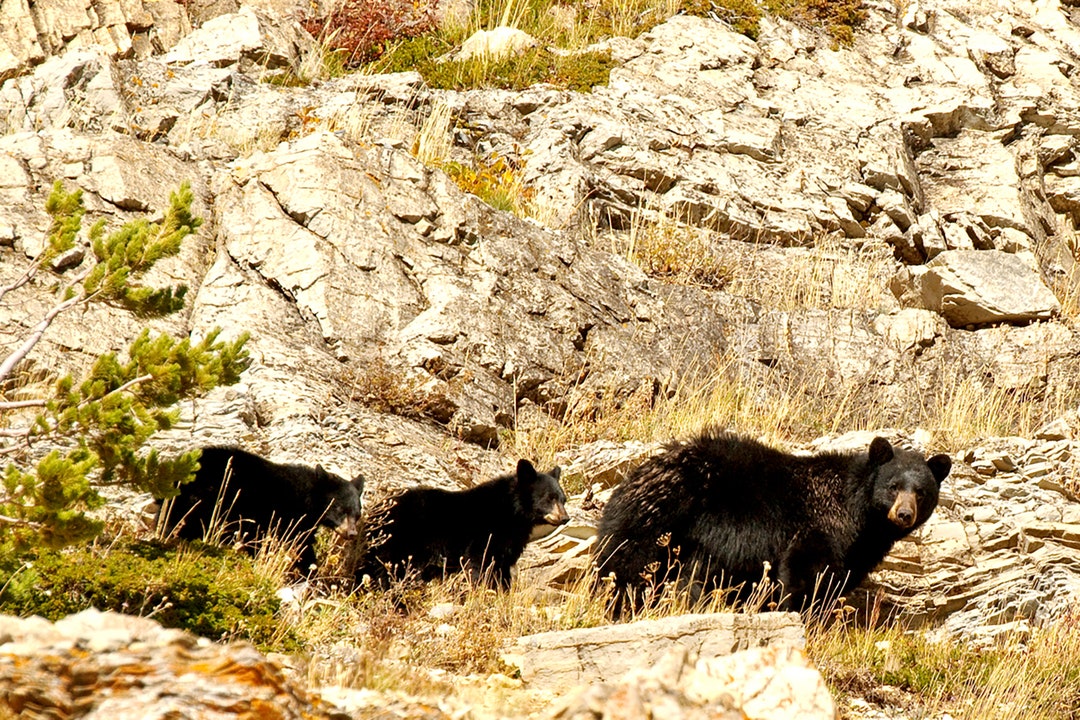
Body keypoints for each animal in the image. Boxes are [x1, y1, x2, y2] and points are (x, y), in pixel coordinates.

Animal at [157, 446, 365, 574]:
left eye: (357, 514)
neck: (307, 498)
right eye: (340, 509)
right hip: (203, 502)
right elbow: (298, 544)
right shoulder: (284, 515)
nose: (352, 533)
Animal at [357, 459, 569, 589]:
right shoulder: (486, 533)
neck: (514, 513)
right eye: (549, 498)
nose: (565, 518)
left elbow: (502, 567)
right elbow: (479, 563)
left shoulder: (508, 543)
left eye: (563, 499)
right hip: (400, 541)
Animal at [593, 429, 951, 614]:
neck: (857, 515)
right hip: (663, 511)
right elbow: (802, 571)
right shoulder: (816, 527)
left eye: (921, 492)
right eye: (893, 486)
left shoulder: (858, 550)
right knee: (628, 555)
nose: (904, 514)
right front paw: (794, 611)